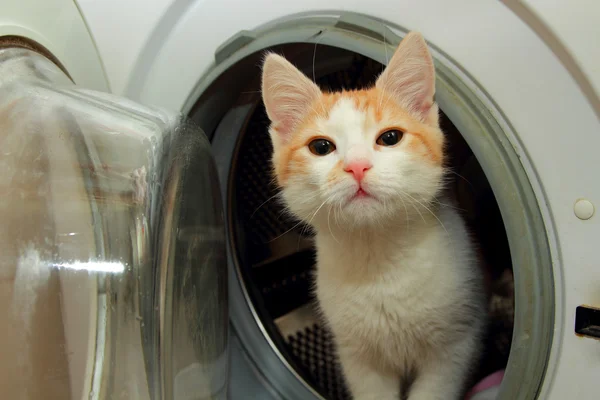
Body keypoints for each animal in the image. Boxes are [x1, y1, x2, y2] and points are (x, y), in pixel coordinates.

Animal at [260, 32, 486, 400]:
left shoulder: (455, 346)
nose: (357, 166)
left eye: (390, 137)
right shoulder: (358, 359)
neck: (378, 263)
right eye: (321, 147)